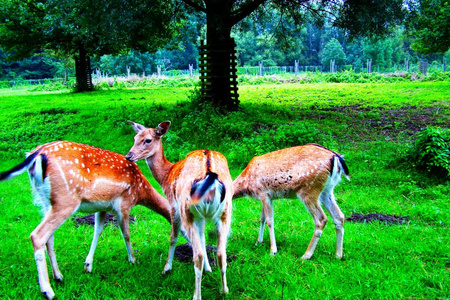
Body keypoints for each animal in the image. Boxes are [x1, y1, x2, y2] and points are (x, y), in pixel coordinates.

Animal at [0, 141, 171, 300]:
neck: (141, 191)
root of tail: (35, 155)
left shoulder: (103, 206)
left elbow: (98, 231)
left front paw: (88, 265)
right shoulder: (124, 203)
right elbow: (126, 234)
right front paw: (133, 260)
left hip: (45, 201)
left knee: (49, 238)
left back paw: (58, 276)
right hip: (66, 199)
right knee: (37, 235)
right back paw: (47, 290)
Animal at [125, 120, 234, 298]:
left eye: (147, 140)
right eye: (135, 138)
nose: (129, 156)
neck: (166, 175)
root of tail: (210, 178)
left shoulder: (173, 205)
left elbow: (173, 237)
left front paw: (166, 269)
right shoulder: (202, 217)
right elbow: (203, 238)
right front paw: (208, 270)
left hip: (187, 210)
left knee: (197, 254)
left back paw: (196, 295)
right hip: (225, 212)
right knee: (220, 252)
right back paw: (224, 290)